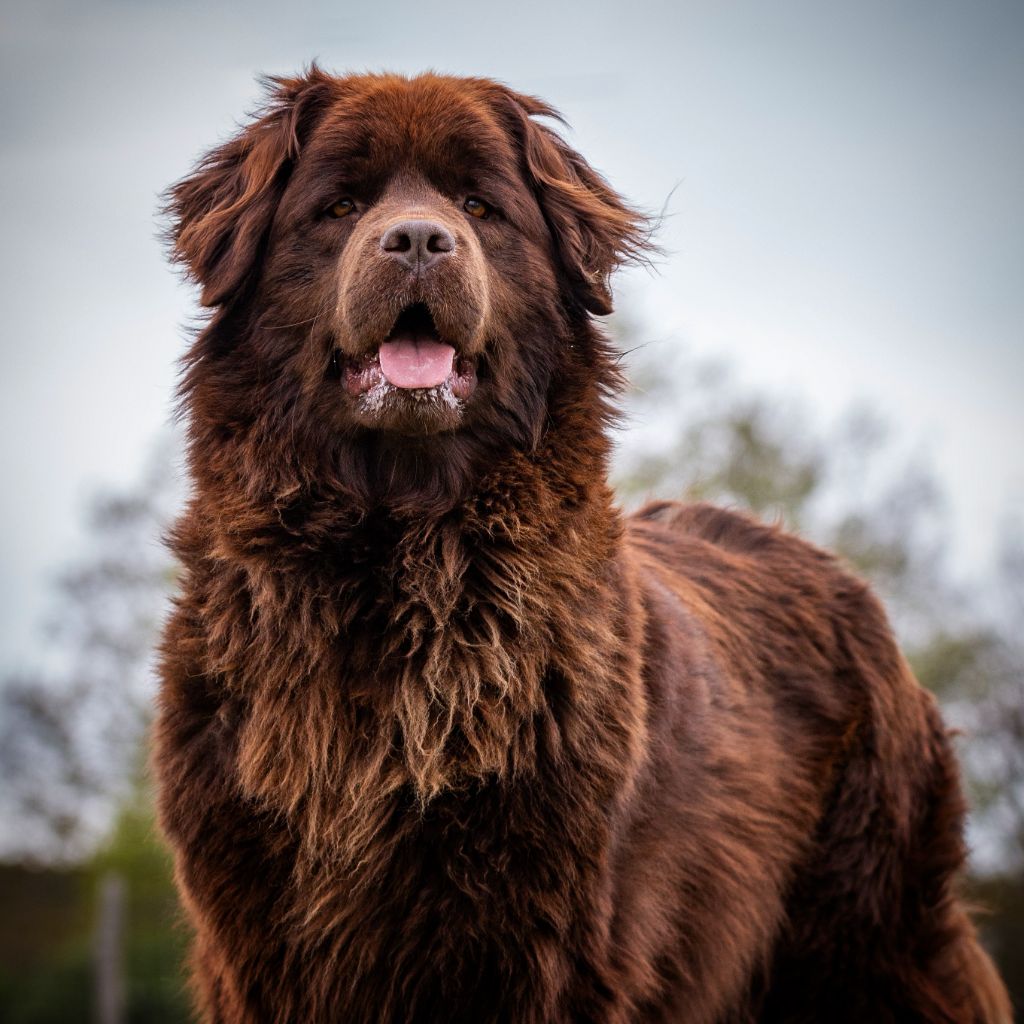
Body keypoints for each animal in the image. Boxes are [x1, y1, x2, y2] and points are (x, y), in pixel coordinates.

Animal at [151, 68, 1007, 1019]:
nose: (418, 240)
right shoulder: (259, 940)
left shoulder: (545, 940)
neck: (401, 559)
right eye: (339, 205)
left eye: (479, 206)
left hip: (871, 934)